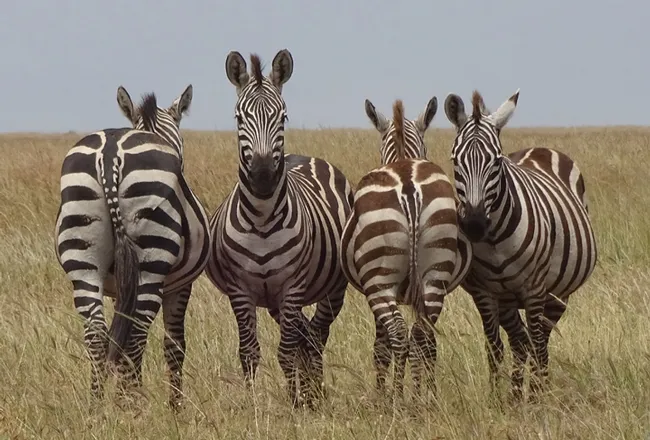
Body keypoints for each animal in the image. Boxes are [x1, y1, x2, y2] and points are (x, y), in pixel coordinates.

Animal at [54, 85, 210, 408]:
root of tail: (110, 153)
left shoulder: (118, 288)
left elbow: (118, 335)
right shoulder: (180, 286)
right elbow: (174, 344)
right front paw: (175, 407)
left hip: (83, 259)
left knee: (97, 335)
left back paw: (98, 406)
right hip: (151, 261)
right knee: (137, 335)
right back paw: (134, 405)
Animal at [205, 49, 354, 407]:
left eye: (283, 118)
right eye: (238, 119)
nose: (262, 176)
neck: (261, 220)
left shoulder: (292, 287)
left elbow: (285, 352)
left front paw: (297, 403)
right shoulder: (241, 290)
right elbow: (249, 352)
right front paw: (254, 405)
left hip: (332, 289)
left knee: (315, 336)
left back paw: (313, 395)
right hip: (273, 298)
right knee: (305, 336)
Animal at [339, 98, 473, 397]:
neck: (400, 157)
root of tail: (409, 188)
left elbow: (381, 348)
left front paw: (381, 395)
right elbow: (429, 345)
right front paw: (424, 390)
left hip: (379, 283)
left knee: (400, 335)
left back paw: (398, 398)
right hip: (435, 273)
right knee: (422, 336)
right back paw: (424, 398)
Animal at [443, 89, 597, 399]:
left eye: (496, 162)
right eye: (455, 160)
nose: (474, 225)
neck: (494, 241)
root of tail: (540, 148)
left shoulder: (534, 288)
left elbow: (536, 345)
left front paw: (536, 399)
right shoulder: (485, 293)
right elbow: (495, 348)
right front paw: (498, 400)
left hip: (558, 294)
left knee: (540, 342)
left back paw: (540, 390)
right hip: (509, 299)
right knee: (520, 342)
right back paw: (516, 395)